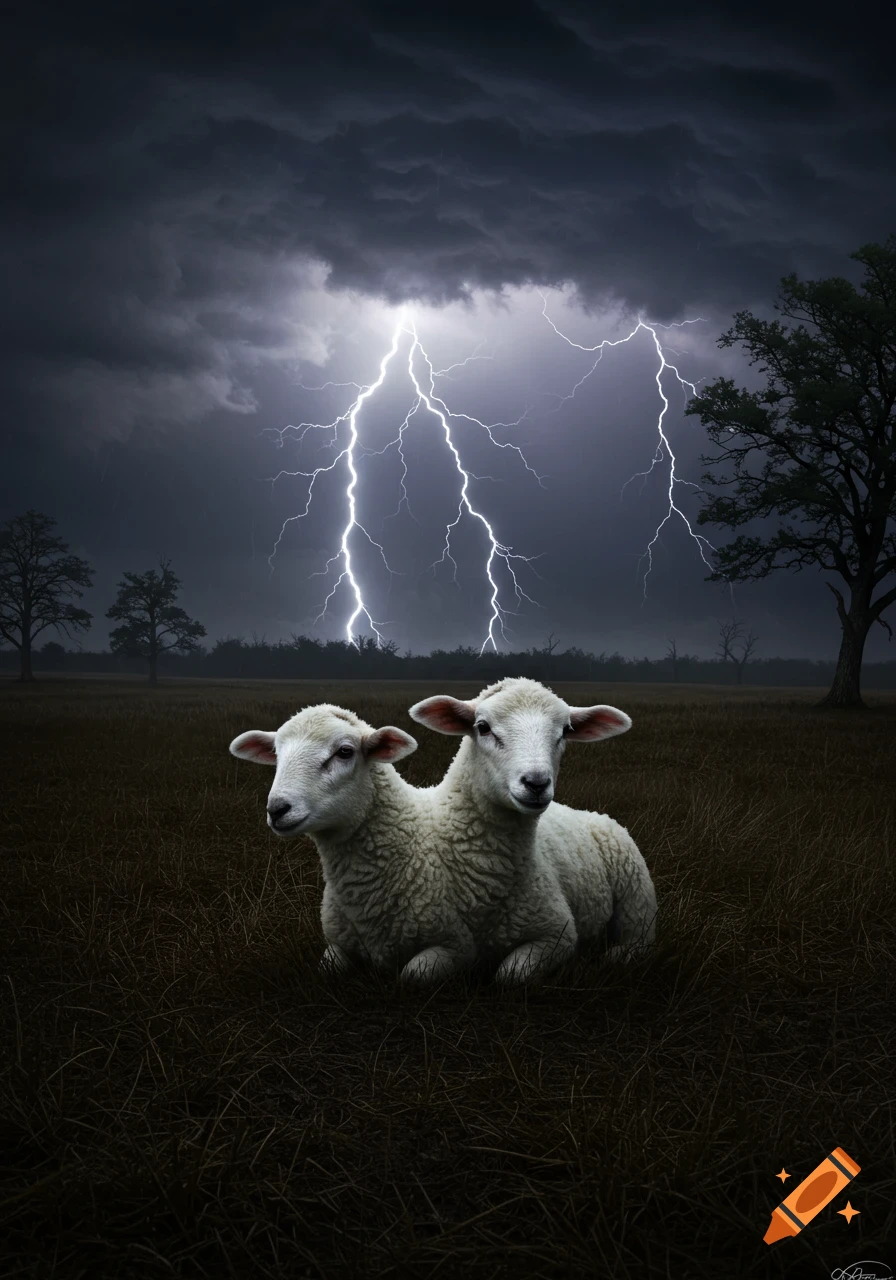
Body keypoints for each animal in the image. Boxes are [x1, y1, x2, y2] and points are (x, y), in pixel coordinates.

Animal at [408, 677, 657, 984]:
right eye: (483, 727)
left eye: (566, 731)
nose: (536, 783)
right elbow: (415, 973)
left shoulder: (557, 933)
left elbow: (510, 975)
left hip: (637, 895)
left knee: (639, 938)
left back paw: (617, 956)